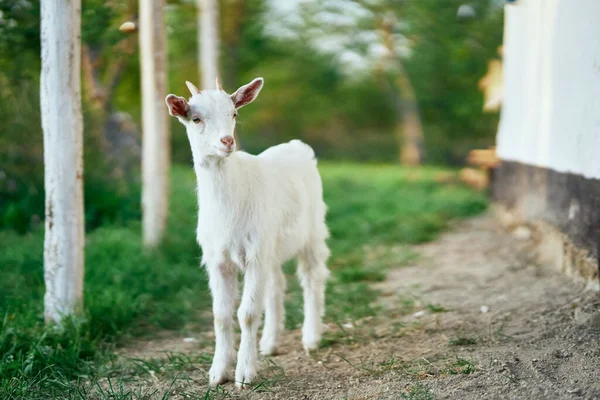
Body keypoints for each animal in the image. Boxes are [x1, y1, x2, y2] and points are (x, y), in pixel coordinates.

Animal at [166, 76, 330, 388]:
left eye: (234, 113)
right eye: (195, 118)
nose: (227, 141)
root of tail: (296, 146)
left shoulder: (255, 255)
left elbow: (248, 313)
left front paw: (244, 374)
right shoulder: (218, 259)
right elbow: (220, 315)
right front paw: (217, 372)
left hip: (312, 231)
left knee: (312, 278)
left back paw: (311, 338)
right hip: (272, 245)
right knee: (276, 285)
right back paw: (270, 343)